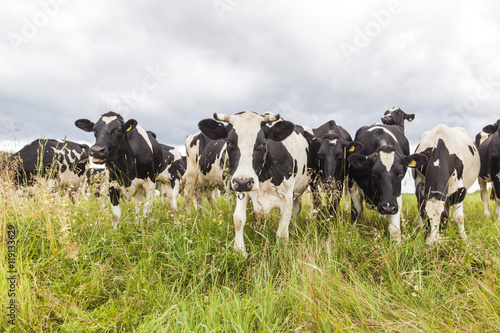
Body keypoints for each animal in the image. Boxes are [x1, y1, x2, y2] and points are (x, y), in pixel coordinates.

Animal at [197, 111, 310, 256]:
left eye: (263, 143)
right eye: (228, 142)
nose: (243, 181)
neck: (263, 175)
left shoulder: (287, 196)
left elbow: (283, 226)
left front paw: (281, 249)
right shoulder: (241, 191)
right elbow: (238, 219)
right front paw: (240, 250)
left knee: (295, 211)